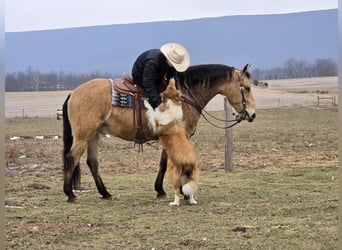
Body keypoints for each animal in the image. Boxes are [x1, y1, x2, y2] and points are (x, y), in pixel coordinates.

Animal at [61, 63, 255, 202]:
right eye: (246, 88)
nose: (252, 114)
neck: (184, 95)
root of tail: (73, 93)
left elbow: (163, 162)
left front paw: (161, 190)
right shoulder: (181, 135)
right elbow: (177, 161)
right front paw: (183, 192)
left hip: (94, 135)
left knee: (92, 162)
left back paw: (105, 193)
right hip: (84, 135)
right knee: (71, 158)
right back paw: (70, 194)